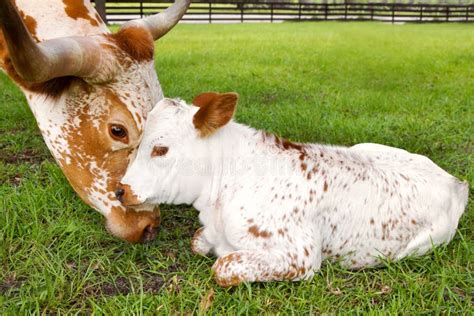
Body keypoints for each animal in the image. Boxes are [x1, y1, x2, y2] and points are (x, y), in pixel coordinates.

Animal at [117, 93, 466, 286]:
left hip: (419, 246)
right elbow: (198, 242)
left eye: (161, 149)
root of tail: (456, 183)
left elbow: (224, 266)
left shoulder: (302, 256)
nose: (121, 191)